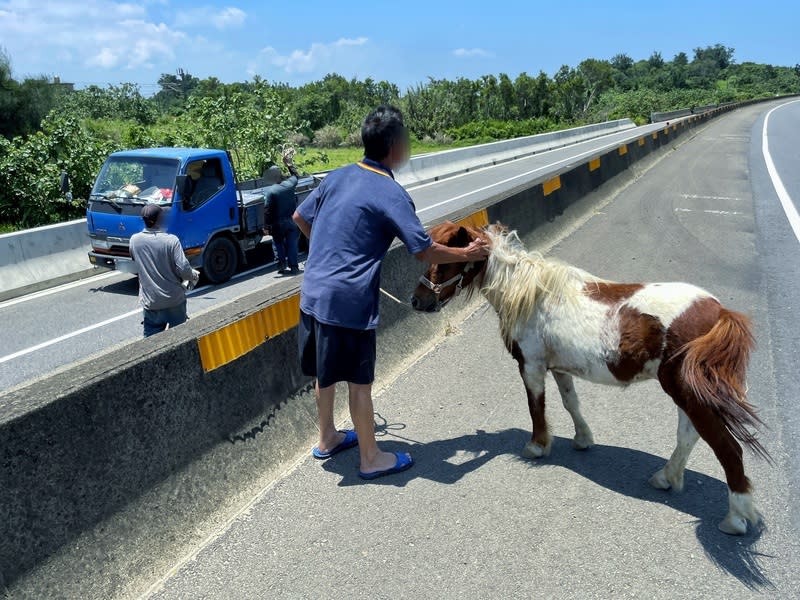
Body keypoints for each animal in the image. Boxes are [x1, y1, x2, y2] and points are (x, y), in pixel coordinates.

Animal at [412, 221, 768, 536]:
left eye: (443, 260)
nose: (417, 301)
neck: (530, 293)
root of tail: (719, 313)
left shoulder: (531, 366)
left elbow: (536, 408)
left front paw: (537, 446)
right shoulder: (558, 368)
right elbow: (571, 403)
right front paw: (582, 439)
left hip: (686, 392)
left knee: (727, 449)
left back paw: (735, 519)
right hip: (686, 393)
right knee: (688, 436)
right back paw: (666, 478)